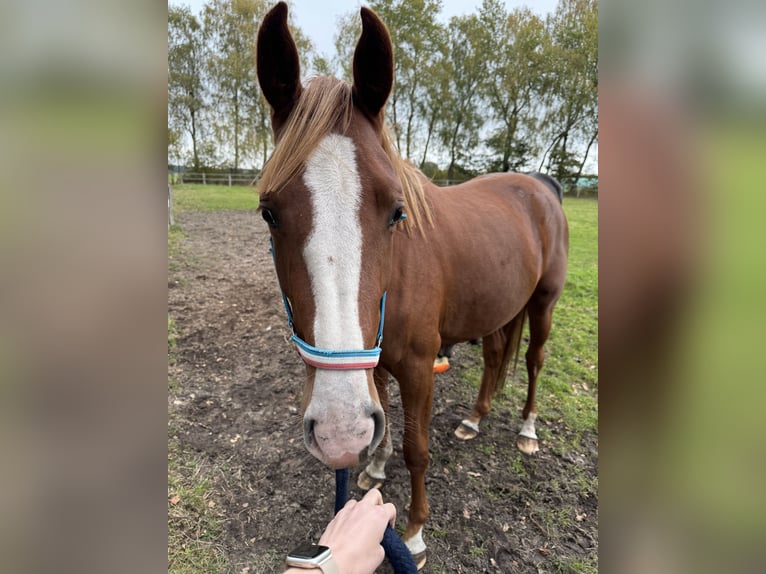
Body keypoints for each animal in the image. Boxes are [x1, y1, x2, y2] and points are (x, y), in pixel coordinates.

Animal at [258, 3, 568, 572]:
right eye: (269, 212)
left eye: (396, 211)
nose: (337, 434)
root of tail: (541, 185)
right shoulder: (374, 361)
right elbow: (381, 418)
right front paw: (373, 467)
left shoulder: (422, 367)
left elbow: (416, 448)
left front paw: (417, 533)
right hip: (497, 307)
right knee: (494, 356)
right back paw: (473, 419)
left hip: (543, 303)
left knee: (534, 360)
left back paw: (527, 430)